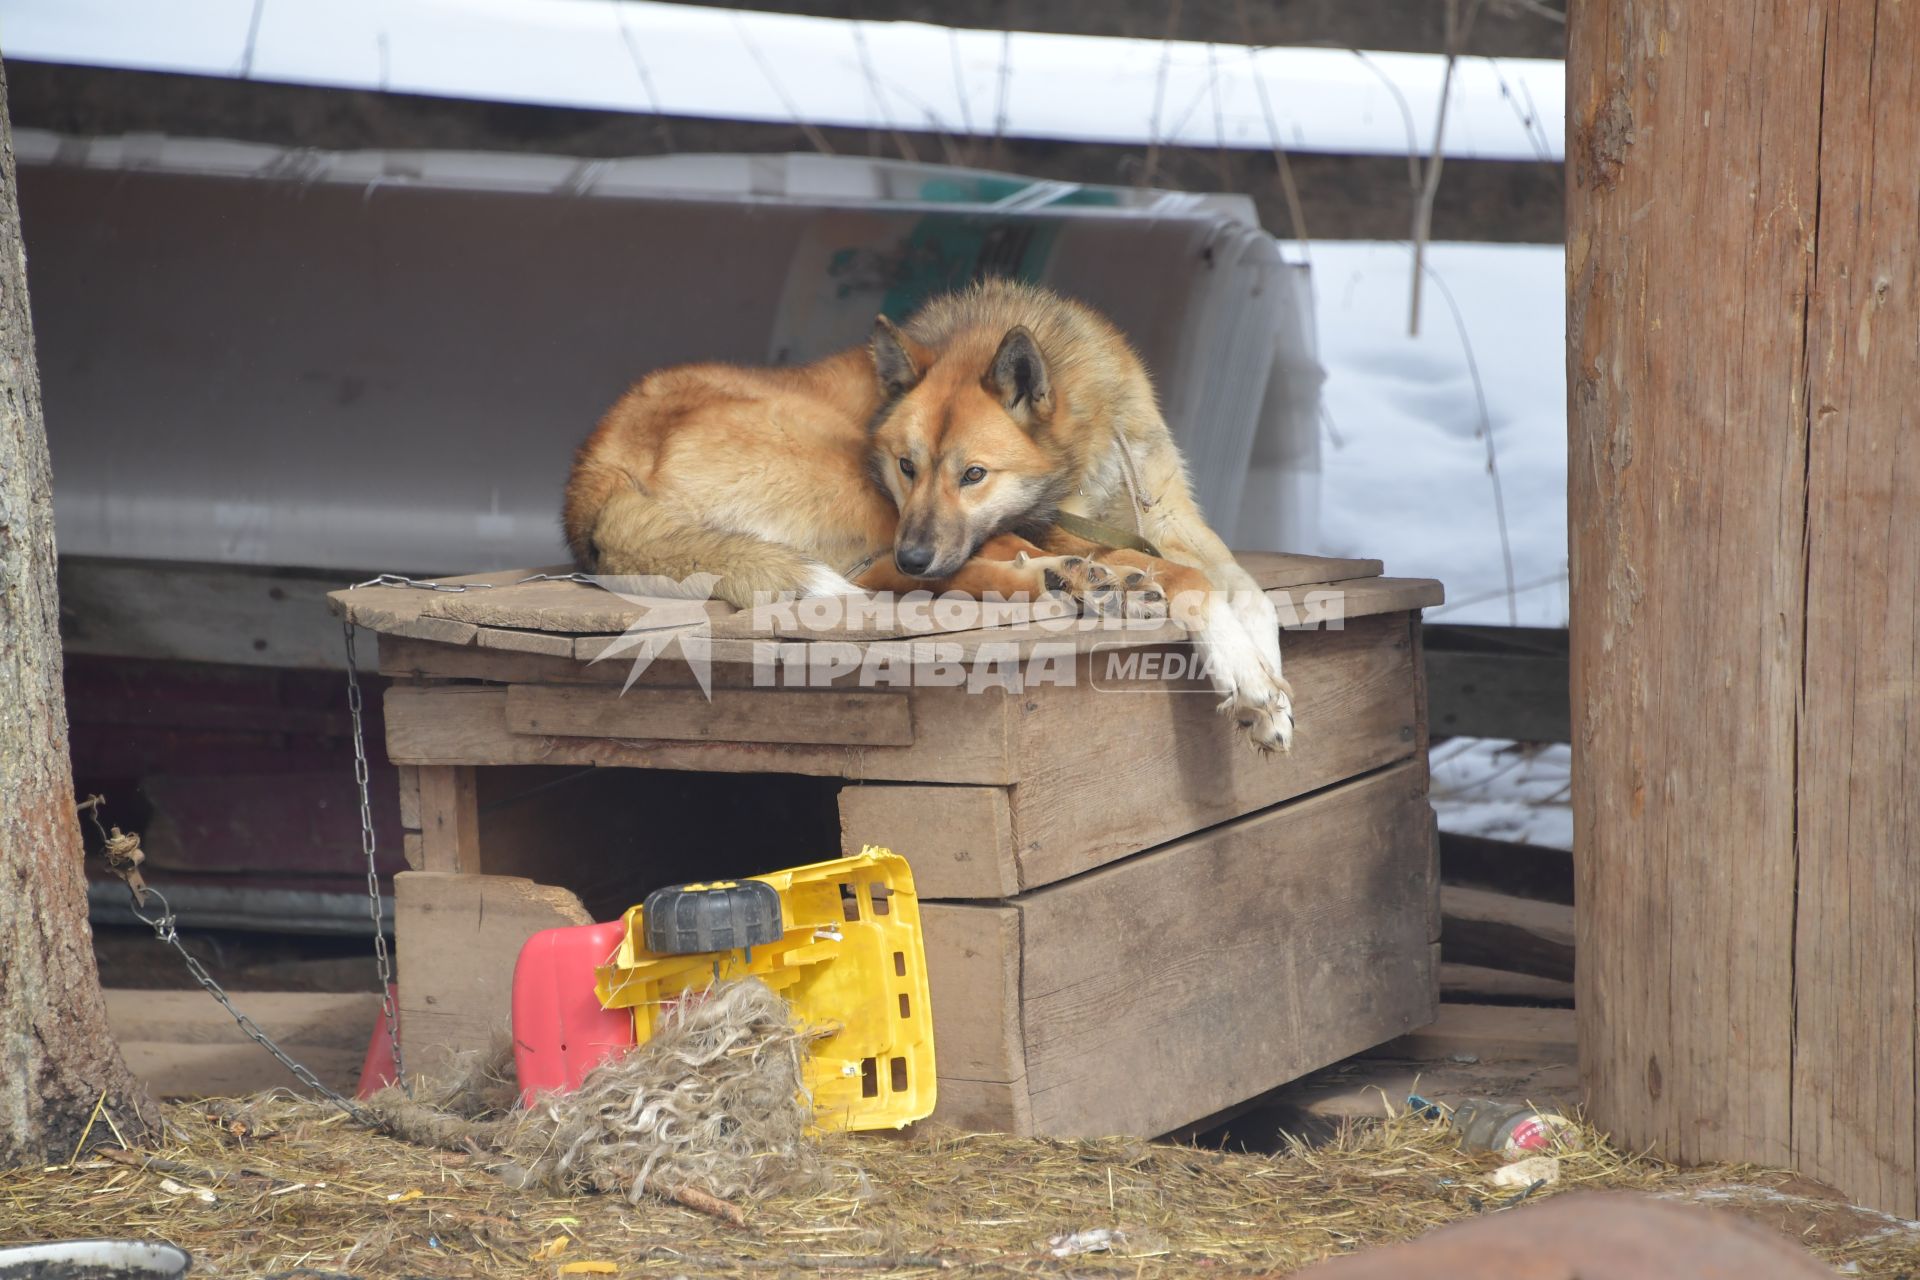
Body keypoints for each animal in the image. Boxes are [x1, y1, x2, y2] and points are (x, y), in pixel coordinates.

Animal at [560, 280, 1297, 752]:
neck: (1084, 449)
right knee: (889, 575)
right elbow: (1194, 583)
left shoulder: (1170, 519)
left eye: (973, 474)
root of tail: (594, 467)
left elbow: (1251, 593)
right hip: (852, 478)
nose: (918, 552)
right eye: (907, 466)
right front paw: (1245, 680)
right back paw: (1076, 579)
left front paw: (1271, 690)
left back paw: (1067, 579)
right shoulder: (1050, 523)